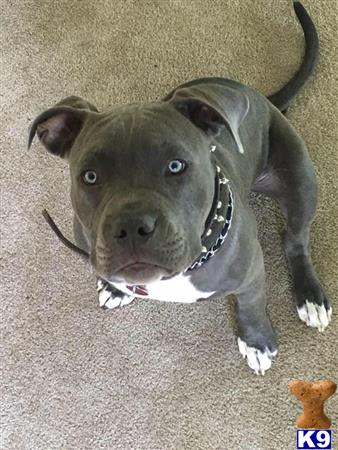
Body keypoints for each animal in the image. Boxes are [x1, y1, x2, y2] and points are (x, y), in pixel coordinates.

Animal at [29, 1, 332, 374]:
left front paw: (257, 341)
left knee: (295, 239)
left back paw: (309, 297)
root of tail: (264, 97)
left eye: (176, 166)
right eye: (90, 176)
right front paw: (115, 288)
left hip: (300, 178)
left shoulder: (251, 274)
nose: (131, 226)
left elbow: (251, 306)